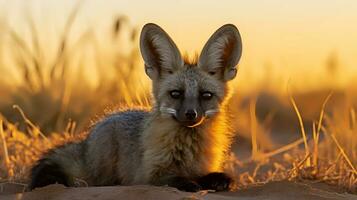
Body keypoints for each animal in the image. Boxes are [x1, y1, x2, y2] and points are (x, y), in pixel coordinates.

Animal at [29, 23, 242, 192]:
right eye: (176, 94)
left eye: (206, 95)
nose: (191, 115)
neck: (188, 150)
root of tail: (86, 140)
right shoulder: (148, 174)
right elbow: (173, 179)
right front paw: (190, 183)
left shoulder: (204, 167)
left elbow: (216, 176)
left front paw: (215, 180)